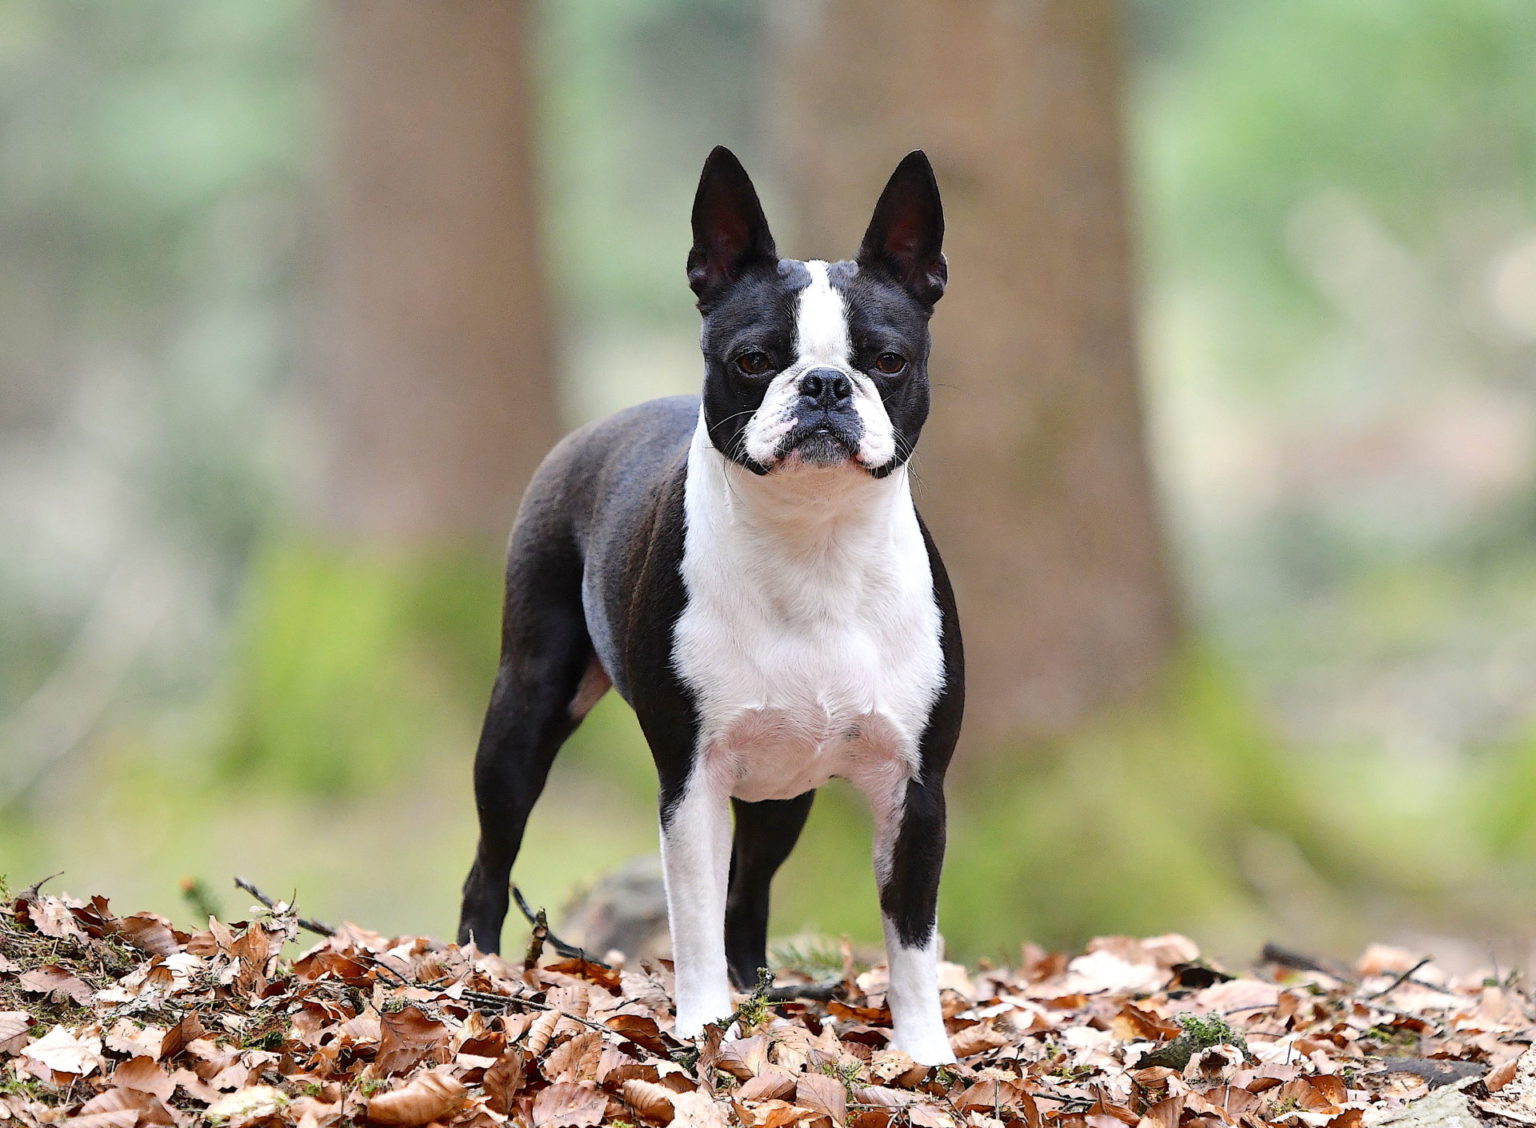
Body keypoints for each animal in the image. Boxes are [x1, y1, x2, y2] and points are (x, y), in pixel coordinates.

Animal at [454, 145, 958, 1063]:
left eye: (889, 361)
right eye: (754, 361)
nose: (824, 384)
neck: (814, 546)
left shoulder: (916, 788)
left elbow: (911, 937)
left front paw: (924, 1053)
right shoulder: (691, 777)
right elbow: (690, 914)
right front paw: (702, 1025)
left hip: (782, 792)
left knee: (751, 895)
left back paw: (761, 991)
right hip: (526, 710)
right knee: (491, 859)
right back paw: (476, 969)